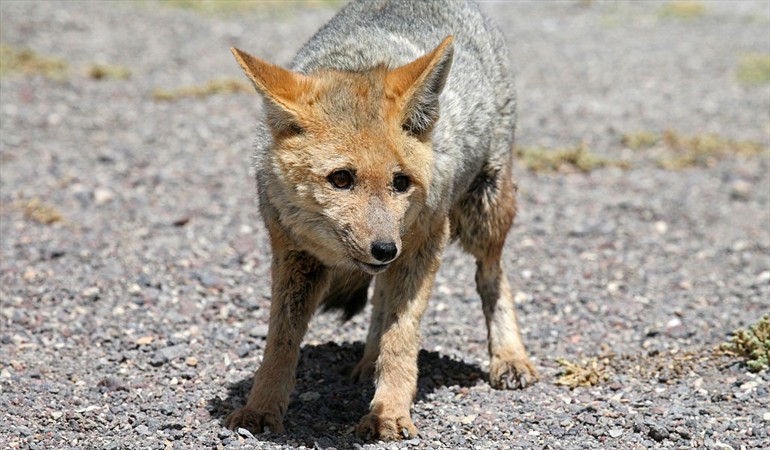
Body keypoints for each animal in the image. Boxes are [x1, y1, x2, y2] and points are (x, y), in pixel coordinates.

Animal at [222, 0, 536, 442]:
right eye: (341, 179)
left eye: (400, 182)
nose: (384, 249)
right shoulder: (292, 253)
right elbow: (279, 343)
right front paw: (261, 408)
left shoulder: (425, 244)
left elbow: (402, 337)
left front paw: (389, 412)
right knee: (381, 296)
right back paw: (369, 359)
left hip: (482, 216)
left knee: (492, 275)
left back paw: (508, 356)